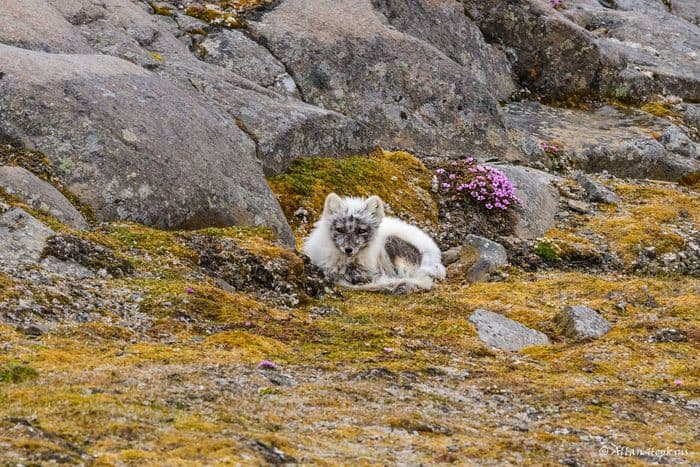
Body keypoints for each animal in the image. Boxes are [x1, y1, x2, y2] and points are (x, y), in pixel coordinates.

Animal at [304, 194, 446, 292]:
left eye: (361, 231)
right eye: (340, 229)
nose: (348, 249)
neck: (347, 262)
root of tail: (436, 258)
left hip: (390, 244)